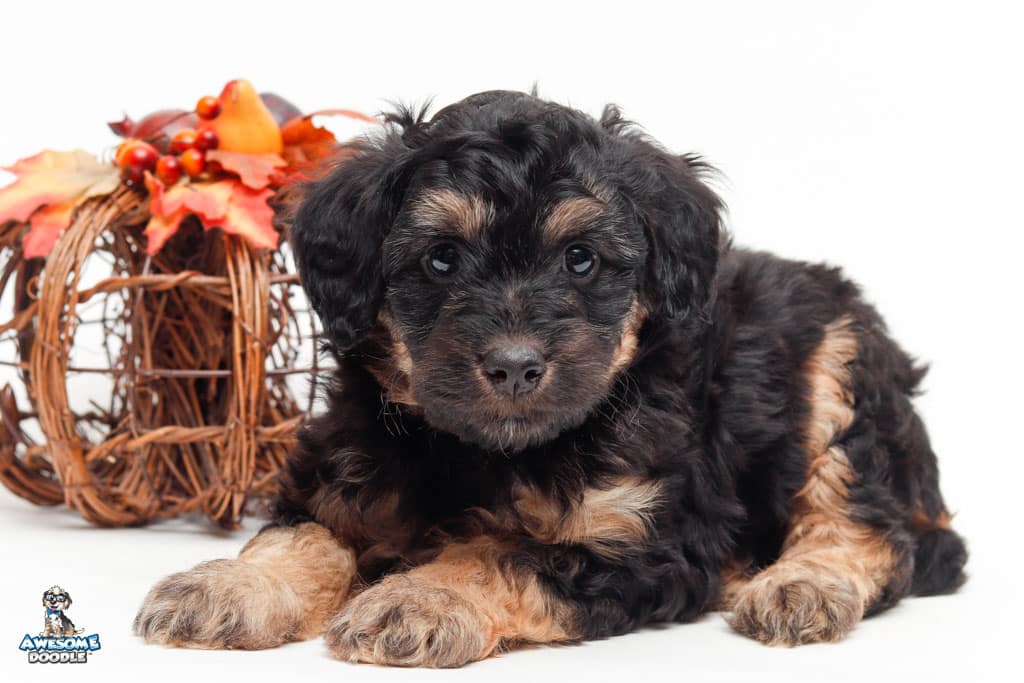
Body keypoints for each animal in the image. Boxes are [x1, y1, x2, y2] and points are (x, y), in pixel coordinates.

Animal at [136, 89, 966, 667]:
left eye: (581, 259)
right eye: (441, 258)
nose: (512, 363)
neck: (478, 451)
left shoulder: (637, 533)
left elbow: (501, 553)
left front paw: (421, 596)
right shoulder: (341, 472)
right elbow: (301, 536)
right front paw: (227, 586)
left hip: (839, 370)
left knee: (873, 528)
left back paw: (801, 584)